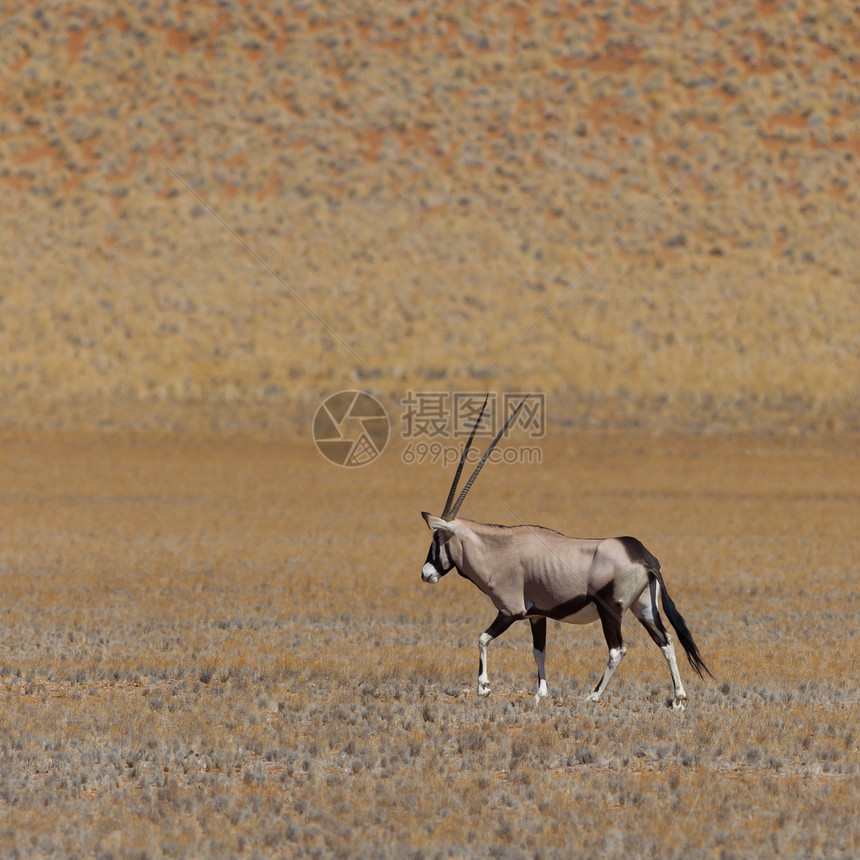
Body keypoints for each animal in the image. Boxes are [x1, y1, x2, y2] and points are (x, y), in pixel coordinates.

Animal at [424, 396, 712, 704]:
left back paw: (593, 696)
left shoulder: (510, 611)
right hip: (643, 607)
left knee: (618, 650)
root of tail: (644, 557)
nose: (426, 573)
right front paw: (540, 692)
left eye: (437, 538)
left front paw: (484, 686)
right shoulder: (536, 615)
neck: (499, 551)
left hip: (611, 610)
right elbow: (539, 650)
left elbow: (482, 638)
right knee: (666, 641)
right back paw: (679, 698)